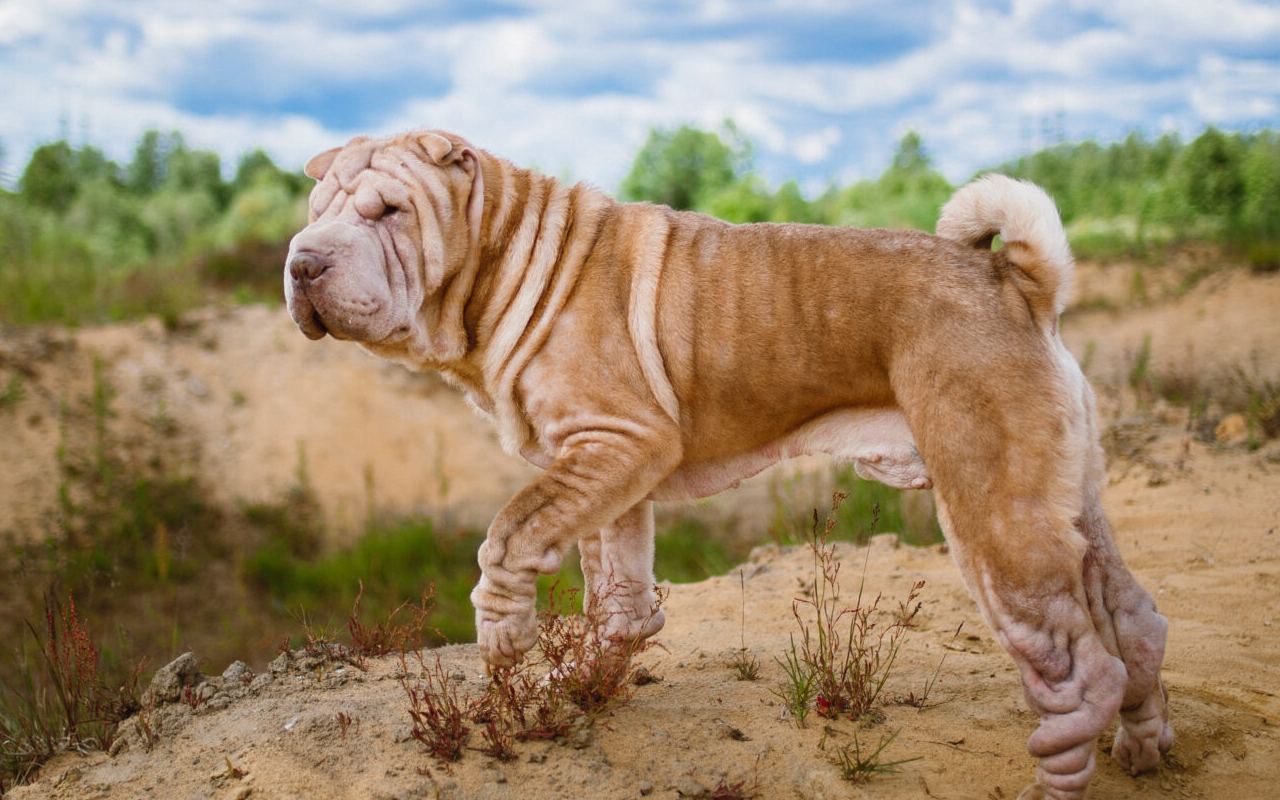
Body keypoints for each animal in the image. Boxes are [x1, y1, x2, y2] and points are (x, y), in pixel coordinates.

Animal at [285, 128, 1172, 793]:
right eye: (315, 212)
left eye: (389, 211)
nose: (301, 261)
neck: (503, 258)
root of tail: (1015, 279)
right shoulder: (609, 470)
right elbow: (616, 591)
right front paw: (584, 684)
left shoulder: (619, 440)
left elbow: (511, 532)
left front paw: (503, 639)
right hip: (1067, 503)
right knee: (1134, 620)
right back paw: (1145, 744)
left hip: (995, 516)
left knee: (1080, 672)